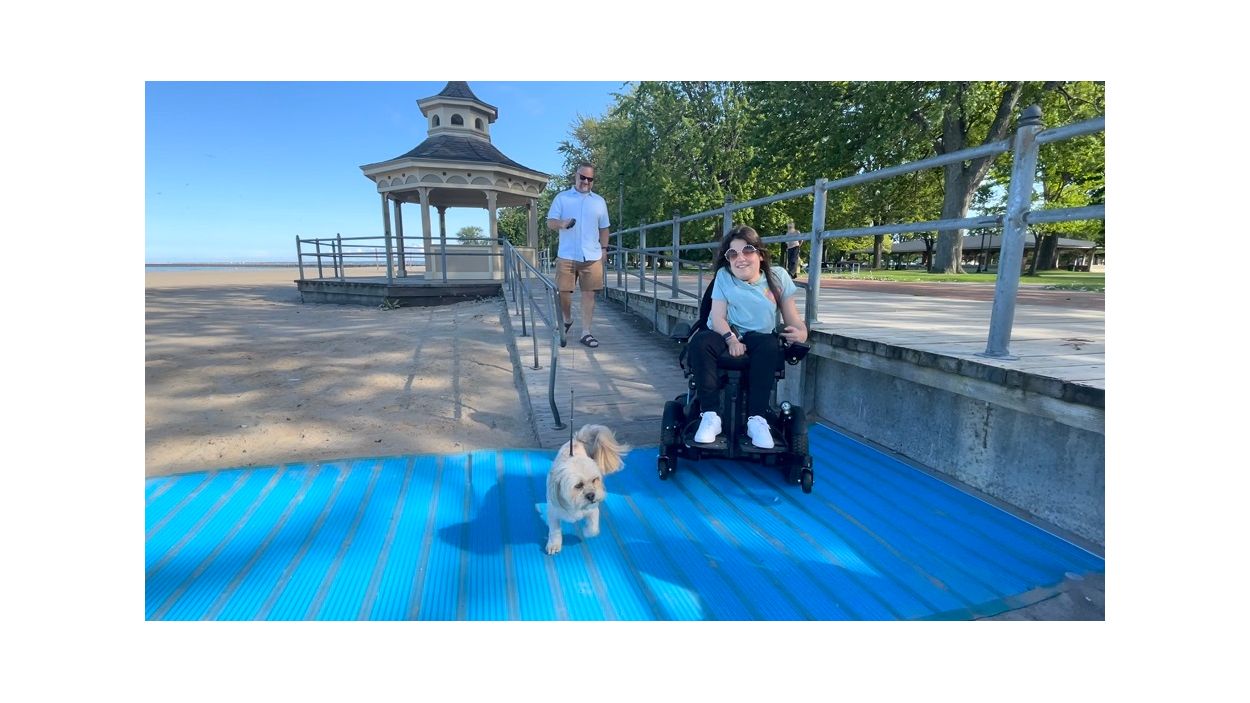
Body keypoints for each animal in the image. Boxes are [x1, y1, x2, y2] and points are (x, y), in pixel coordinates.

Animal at [543, 424, 629, 555]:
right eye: (578, 485)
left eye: (595, 480)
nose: (591, 495)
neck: (574, 505)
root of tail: (577, 439)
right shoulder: (553, 513)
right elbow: (554, 531)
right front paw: (554, 544)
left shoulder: (593, 510)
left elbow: (593, 528)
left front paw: (587, 531)